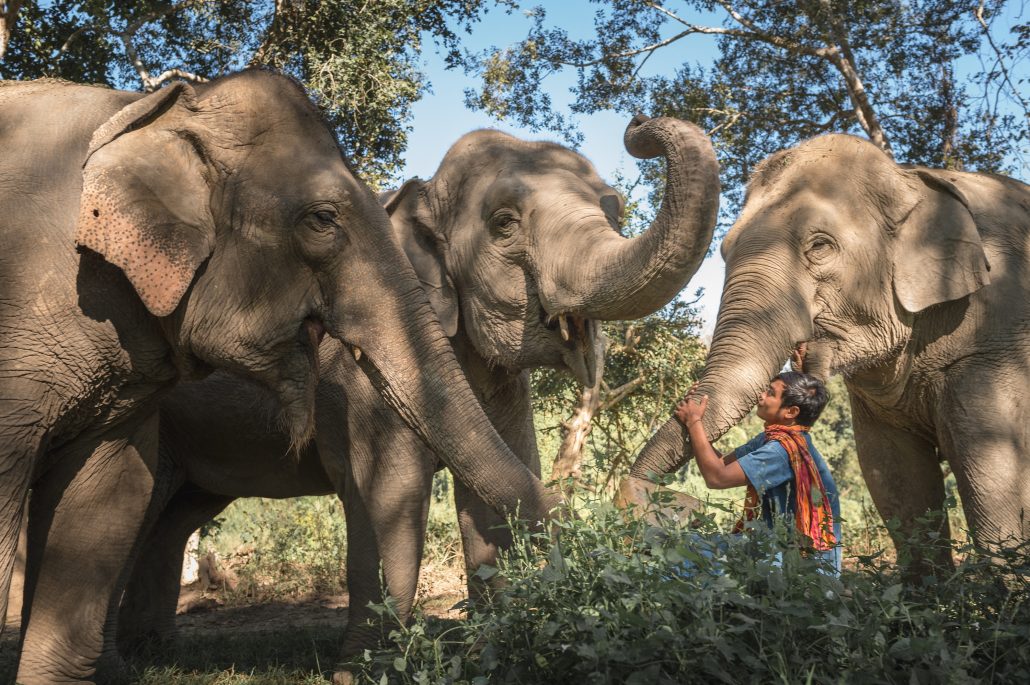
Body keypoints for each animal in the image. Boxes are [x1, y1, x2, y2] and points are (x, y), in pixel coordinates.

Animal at [113, 115, 720, 674]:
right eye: (504, 224)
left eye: (614, 212)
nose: (637, 126)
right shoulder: (358, 376)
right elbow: (389, 490)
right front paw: (362, 671)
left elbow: (498, 483)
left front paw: (498, 646)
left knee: (175, 518)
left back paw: (154, 654)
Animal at [620, 132, 1030, 565]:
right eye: (725, 250)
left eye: (819, 246)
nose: (645, 493)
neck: (911, 179)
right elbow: (894, 474)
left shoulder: (995, 342)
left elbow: (994, 478)